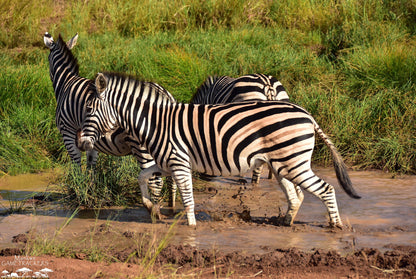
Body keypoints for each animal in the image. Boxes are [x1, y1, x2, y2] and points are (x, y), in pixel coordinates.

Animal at [43, 32, 176, 208]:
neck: (66, 83)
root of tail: (166, 95)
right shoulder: (90, 140)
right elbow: (91, 166)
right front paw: (89, 191)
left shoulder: (68, 132)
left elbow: (76, 165)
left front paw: (78, 193)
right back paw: (172, 207)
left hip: (143, 147)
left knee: (156, 182)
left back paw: (154, 208)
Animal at [78, 73, 360, 229]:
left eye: (89, 109)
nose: (81, 143)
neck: (157, 122)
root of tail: (307, 115)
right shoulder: (167, 162)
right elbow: (142, 177)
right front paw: (151, 208)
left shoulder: (179, 163)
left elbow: (188, 198)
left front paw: (191, 228)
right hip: (283, 164)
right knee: (296, 195)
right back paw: (284, 222)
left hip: (294, 162)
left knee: (326, 189)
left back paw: (335, 226)